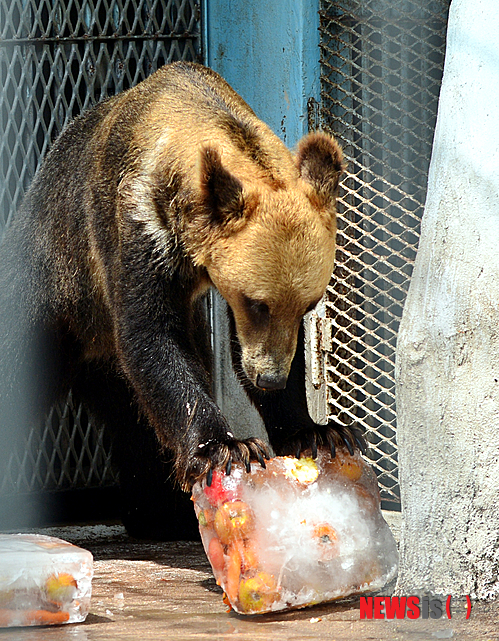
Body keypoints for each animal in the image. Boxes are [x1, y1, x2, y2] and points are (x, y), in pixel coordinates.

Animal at [0, 63, 364, 536]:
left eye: (307, 305)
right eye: (257, 302)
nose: (269, 378)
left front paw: (318, 432)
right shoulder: (137, 225)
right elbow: (153, 337)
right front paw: (228, 446)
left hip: (106, 365)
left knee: (133, 424)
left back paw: (159, 512)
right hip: (51, 284)